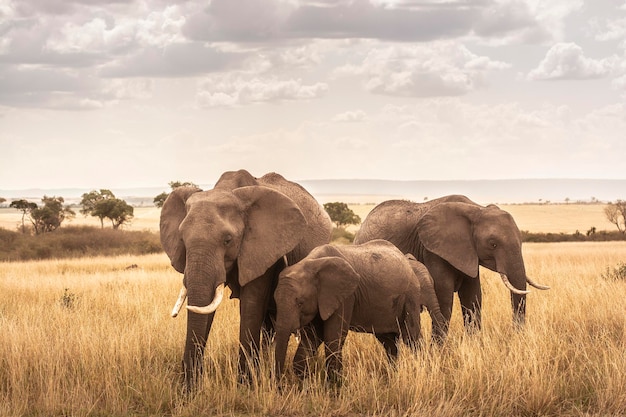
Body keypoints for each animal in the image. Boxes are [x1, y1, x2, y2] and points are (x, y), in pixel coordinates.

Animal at [160, 169, 332, 390]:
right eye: (182, 239)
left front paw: (245, 387)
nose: (188, 387)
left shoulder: (262, 247)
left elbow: (251, 304)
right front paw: (189, 390)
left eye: (227, 240)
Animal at [272, 239, 444, 382]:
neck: (310, 264)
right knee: (389, 343)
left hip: (410, 296)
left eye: (300, 303)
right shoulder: (320, 300)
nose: (280, 385)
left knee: (411, 337)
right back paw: (392, 379)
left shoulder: (346, 296)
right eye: (275, 303)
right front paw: (306, 388)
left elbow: (332, 338)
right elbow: (311, 338)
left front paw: (335, 390)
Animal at [354, 193, 548, 340]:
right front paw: (438, 351)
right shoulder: (432, 250)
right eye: (493, 244)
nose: (517, 336)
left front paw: (473, 345)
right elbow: (443, 296)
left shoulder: (468, 252)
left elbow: (472, 296)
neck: (476, 209)